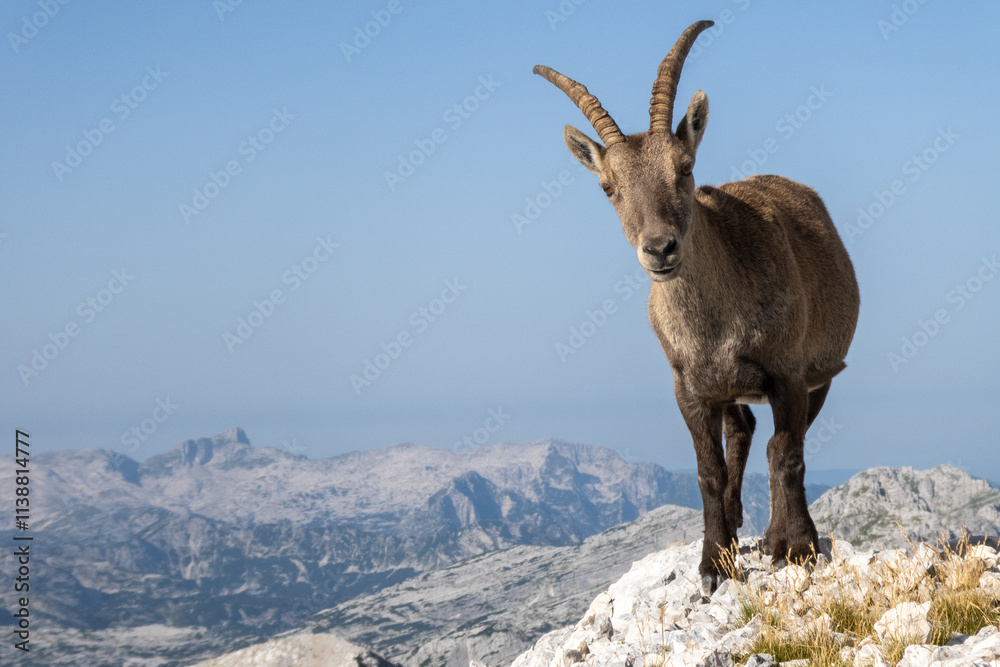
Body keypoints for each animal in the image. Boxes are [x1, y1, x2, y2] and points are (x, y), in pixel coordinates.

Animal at [534, 20, 860, 589]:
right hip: (728, 389)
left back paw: (779, 534)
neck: (717, 323)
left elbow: (788, 455)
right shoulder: (688, 387)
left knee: (778, 441)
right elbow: (709, 470)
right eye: (608, 187)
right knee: (741, 430)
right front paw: (714, 562)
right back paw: (734, 520)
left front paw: (796, 547)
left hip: (821, 373)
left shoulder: (789, 375)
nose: (660, 249)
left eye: (684, 168)